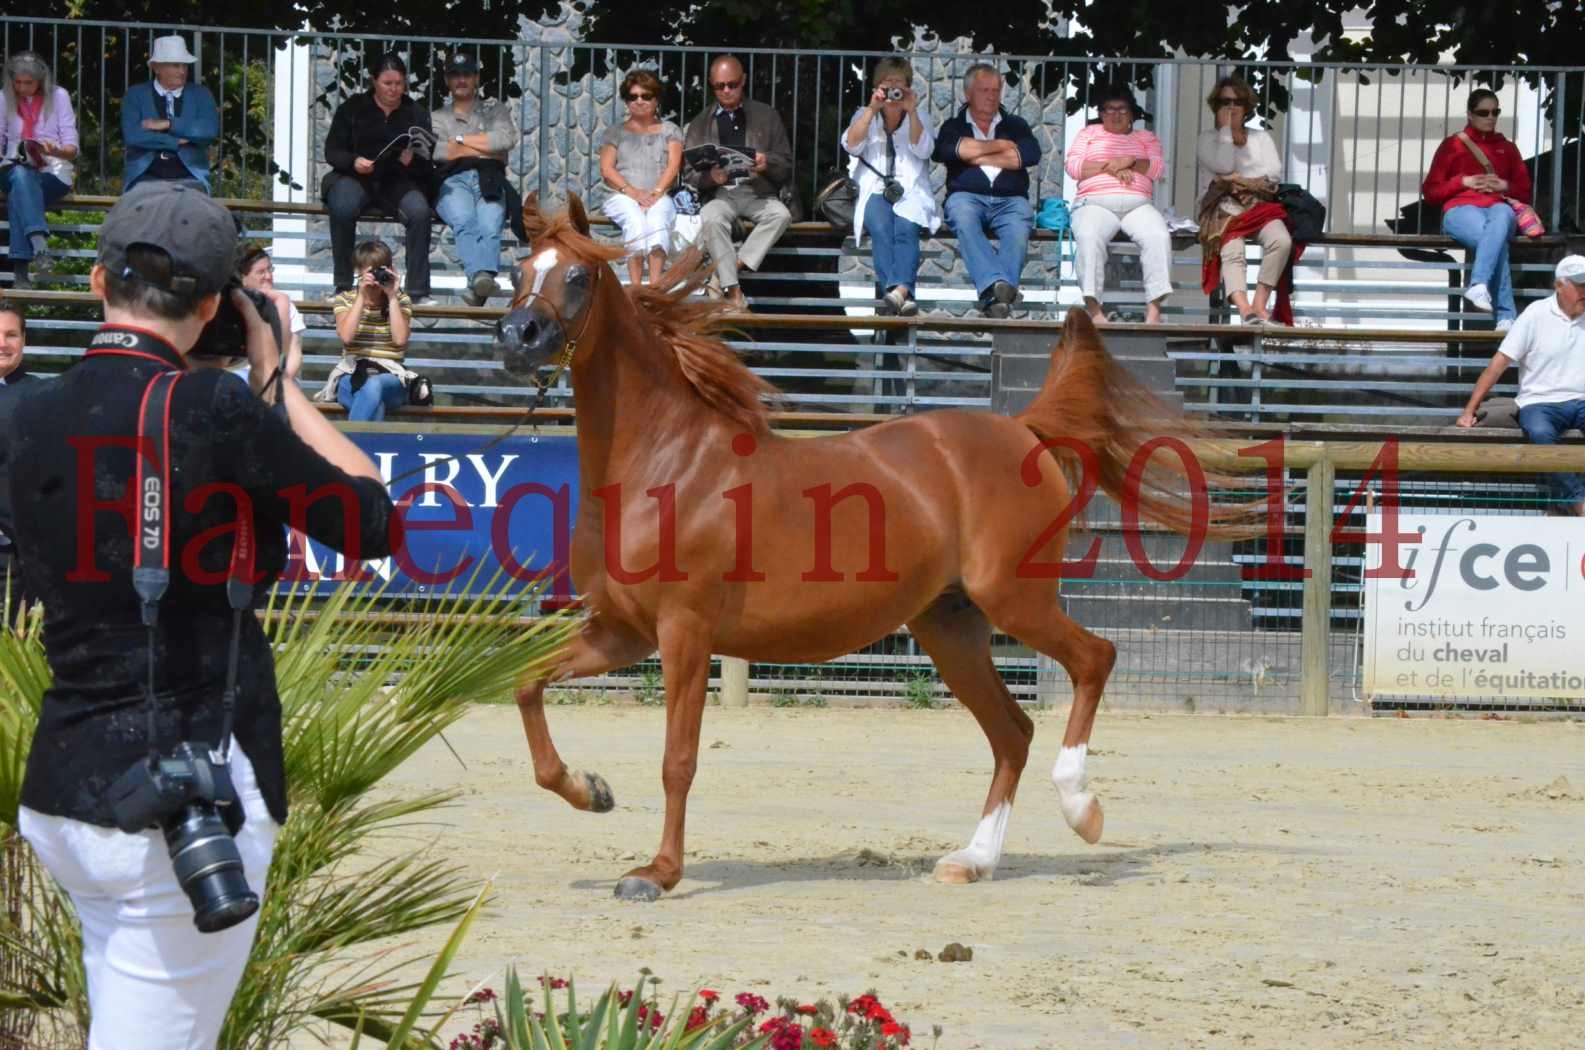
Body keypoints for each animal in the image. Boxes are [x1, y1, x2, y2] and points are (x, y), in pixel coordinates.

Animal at [500, 193, 1229, 900]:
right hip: (949, 625)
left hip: (1014, 600)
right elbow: (526, 685)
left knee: (1093, 662)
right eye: (520, 268)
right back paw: (972, 861)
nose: (516, 337)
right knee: (1011, 733)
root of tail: (1021, 431)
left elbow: (677, 760)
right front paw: (590, 791)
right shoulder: (623, 632)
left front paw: (656, 875)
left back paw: (1081, 809)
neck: (666, 463)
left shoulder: (684, 631)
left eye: (577, 275)